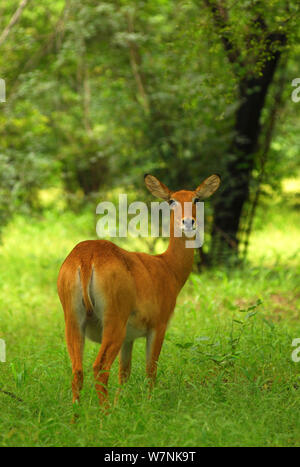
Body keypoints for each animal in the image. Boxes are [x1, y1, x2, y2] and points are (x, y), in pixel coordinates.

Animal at [57, 174, 220, 408]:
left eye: (196, 199)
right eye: (172, 200)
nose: (188, 222)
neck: (169, 269)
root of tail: (86, 259)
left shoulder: (130, 337)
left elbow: (124, 373)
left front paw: (122, 404)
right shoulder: (159, 324)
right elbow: (150, 370)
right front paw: (149, 405)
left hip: (72, 317)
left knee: (77, 371)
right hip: (114, 318)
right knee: (99, 368)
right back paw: (106, 413)